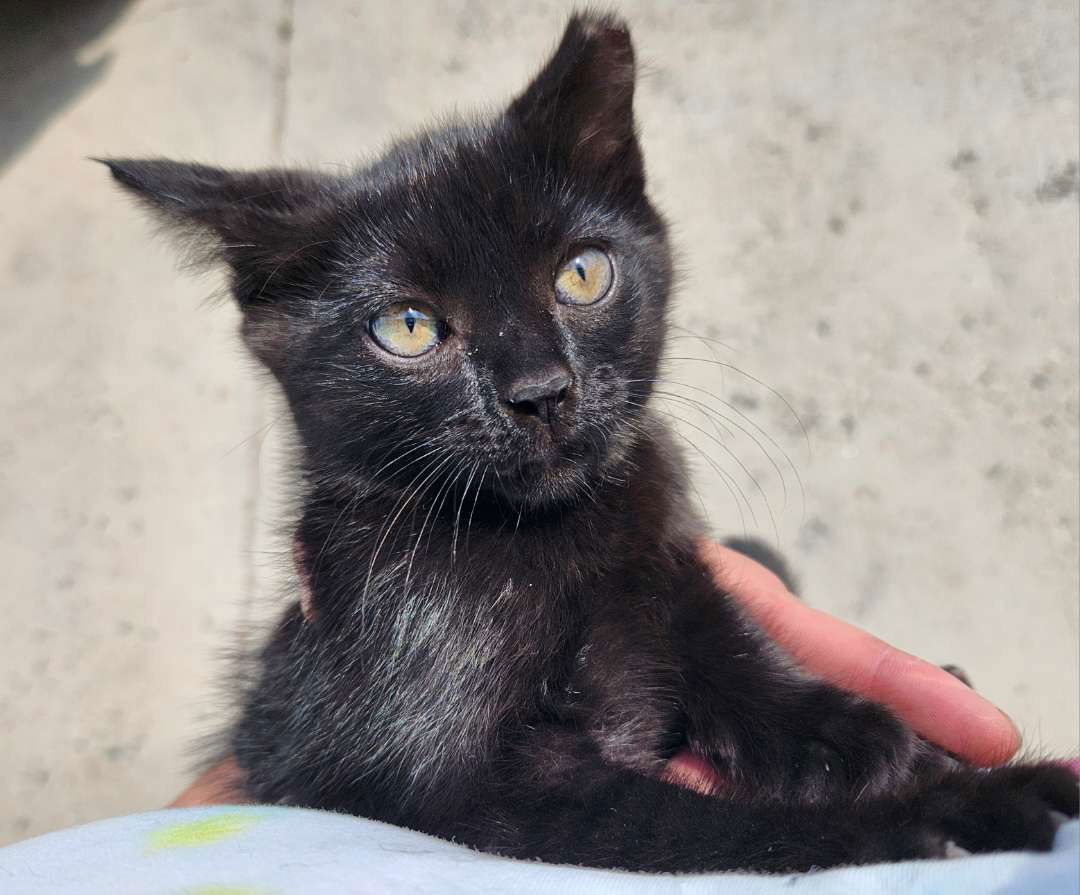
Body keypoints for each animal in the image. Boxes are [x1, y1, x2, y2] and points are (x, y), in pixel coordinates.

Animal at [105, 8, 1075, 872]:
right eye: (408, 328)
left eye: (581, 274)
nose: (540, 391)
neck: (556, 537)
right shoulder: (456, 791)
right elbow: (699, 834)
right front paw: (954, 811)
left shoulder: (664, 537)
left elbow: (719, 627)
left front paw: (843, 726)